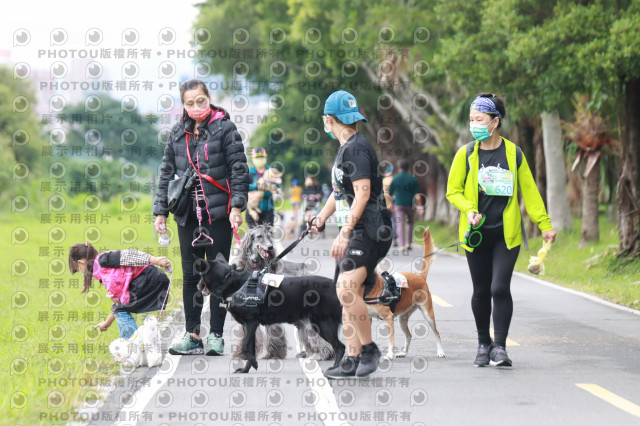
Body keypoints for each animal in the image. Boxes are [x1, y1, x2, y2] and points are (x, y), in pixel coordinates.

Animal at [231, 225, 336, 362]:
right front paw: (243, 354)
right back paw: (308, 353)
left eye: (269, 237)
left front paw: (272, 354)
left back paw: (323, 354)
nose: (270, 247)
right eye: (259, 236)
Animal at [364, 228, 444, 362]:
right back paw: (403, 352)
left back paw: (440, 352)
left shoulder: (388, 318)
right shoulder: (367, 318)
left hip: (428, 315)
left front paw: (389, 355)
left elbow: (390, 341)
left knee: (437, 333)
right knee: (409, 335)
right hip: (402, 319)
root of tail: (420, 277)